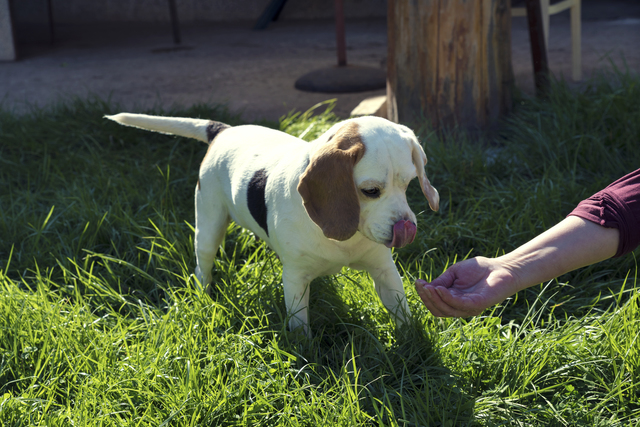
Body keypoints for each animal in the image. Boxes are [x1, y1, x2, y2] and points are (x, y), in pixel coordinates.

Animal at [105, 113, 438, 334]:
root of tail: (223, 131)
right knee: (203, 265)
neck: (344, 237)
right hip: (209, 226)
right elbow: (300, 327)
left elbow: (402, 313)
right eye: (370, 191)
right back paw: (203, 294)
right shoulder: (295, 278)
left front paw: (412, 343)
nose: (407, 230)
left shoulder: (384, 269)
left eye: (409, 185)